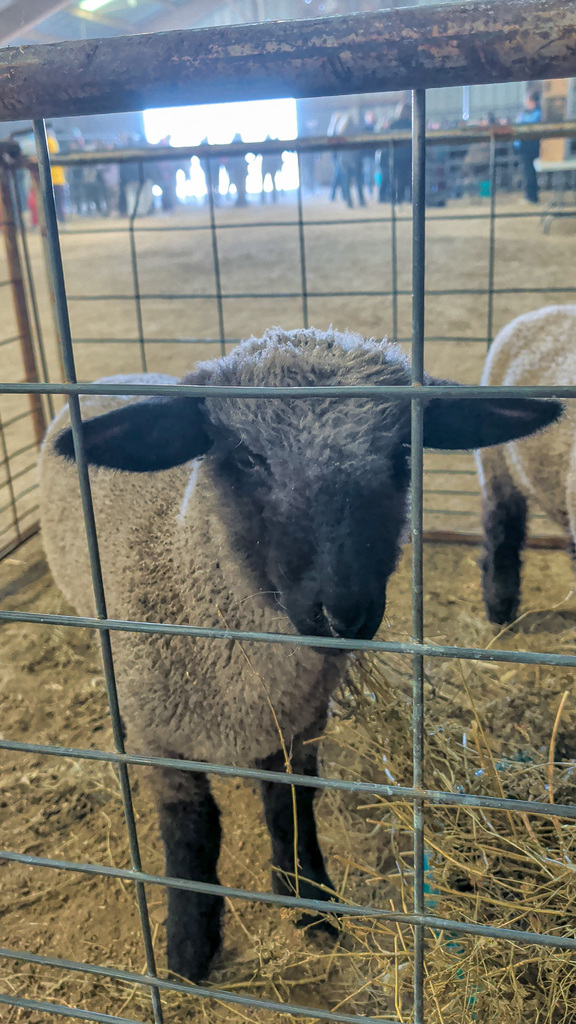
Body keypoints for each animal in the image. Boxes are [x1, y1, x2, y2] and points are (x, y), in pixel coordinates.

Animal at [39, 326, 560, 982]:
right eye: (246, 457)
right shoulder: (160, 735)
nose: (344, 614)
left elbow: (291, 809)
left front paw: (311, 901)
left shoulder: (299, 725)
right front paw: (188, 946)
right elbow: (189, 836)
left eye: (401, 455)